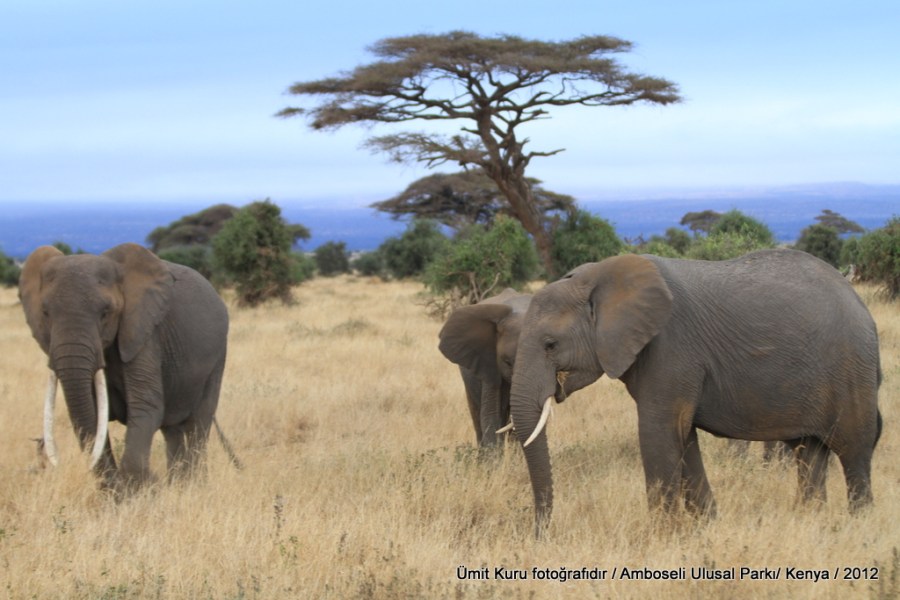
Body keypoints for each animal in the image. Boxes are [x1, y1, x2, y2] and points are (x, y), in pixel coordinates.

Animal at [19, 243, 231, 492]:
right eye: (45, 313)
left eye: (105, 313)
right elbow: (92, 414)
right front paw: (118, 493)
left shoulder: (144, 335)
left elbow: (145, 405)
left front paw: (144, 489)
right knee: (172, 430)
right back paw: (177, 485)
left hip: (217, 357)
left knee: (199, 423)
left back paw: (193, 486)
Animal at [508, 249, 882, 536]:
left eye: (550, 344)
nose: (539, 534)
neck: (598, 277)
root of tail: (859, 301)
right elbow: (683, 436)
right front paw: (707, 528)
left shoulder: (671, 348)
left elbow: (659, 432)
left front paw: (662, 538)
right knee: (810, 454)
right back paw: (810, 521)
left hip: (851, 368)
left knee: (854, 452)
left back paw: (860, 526)